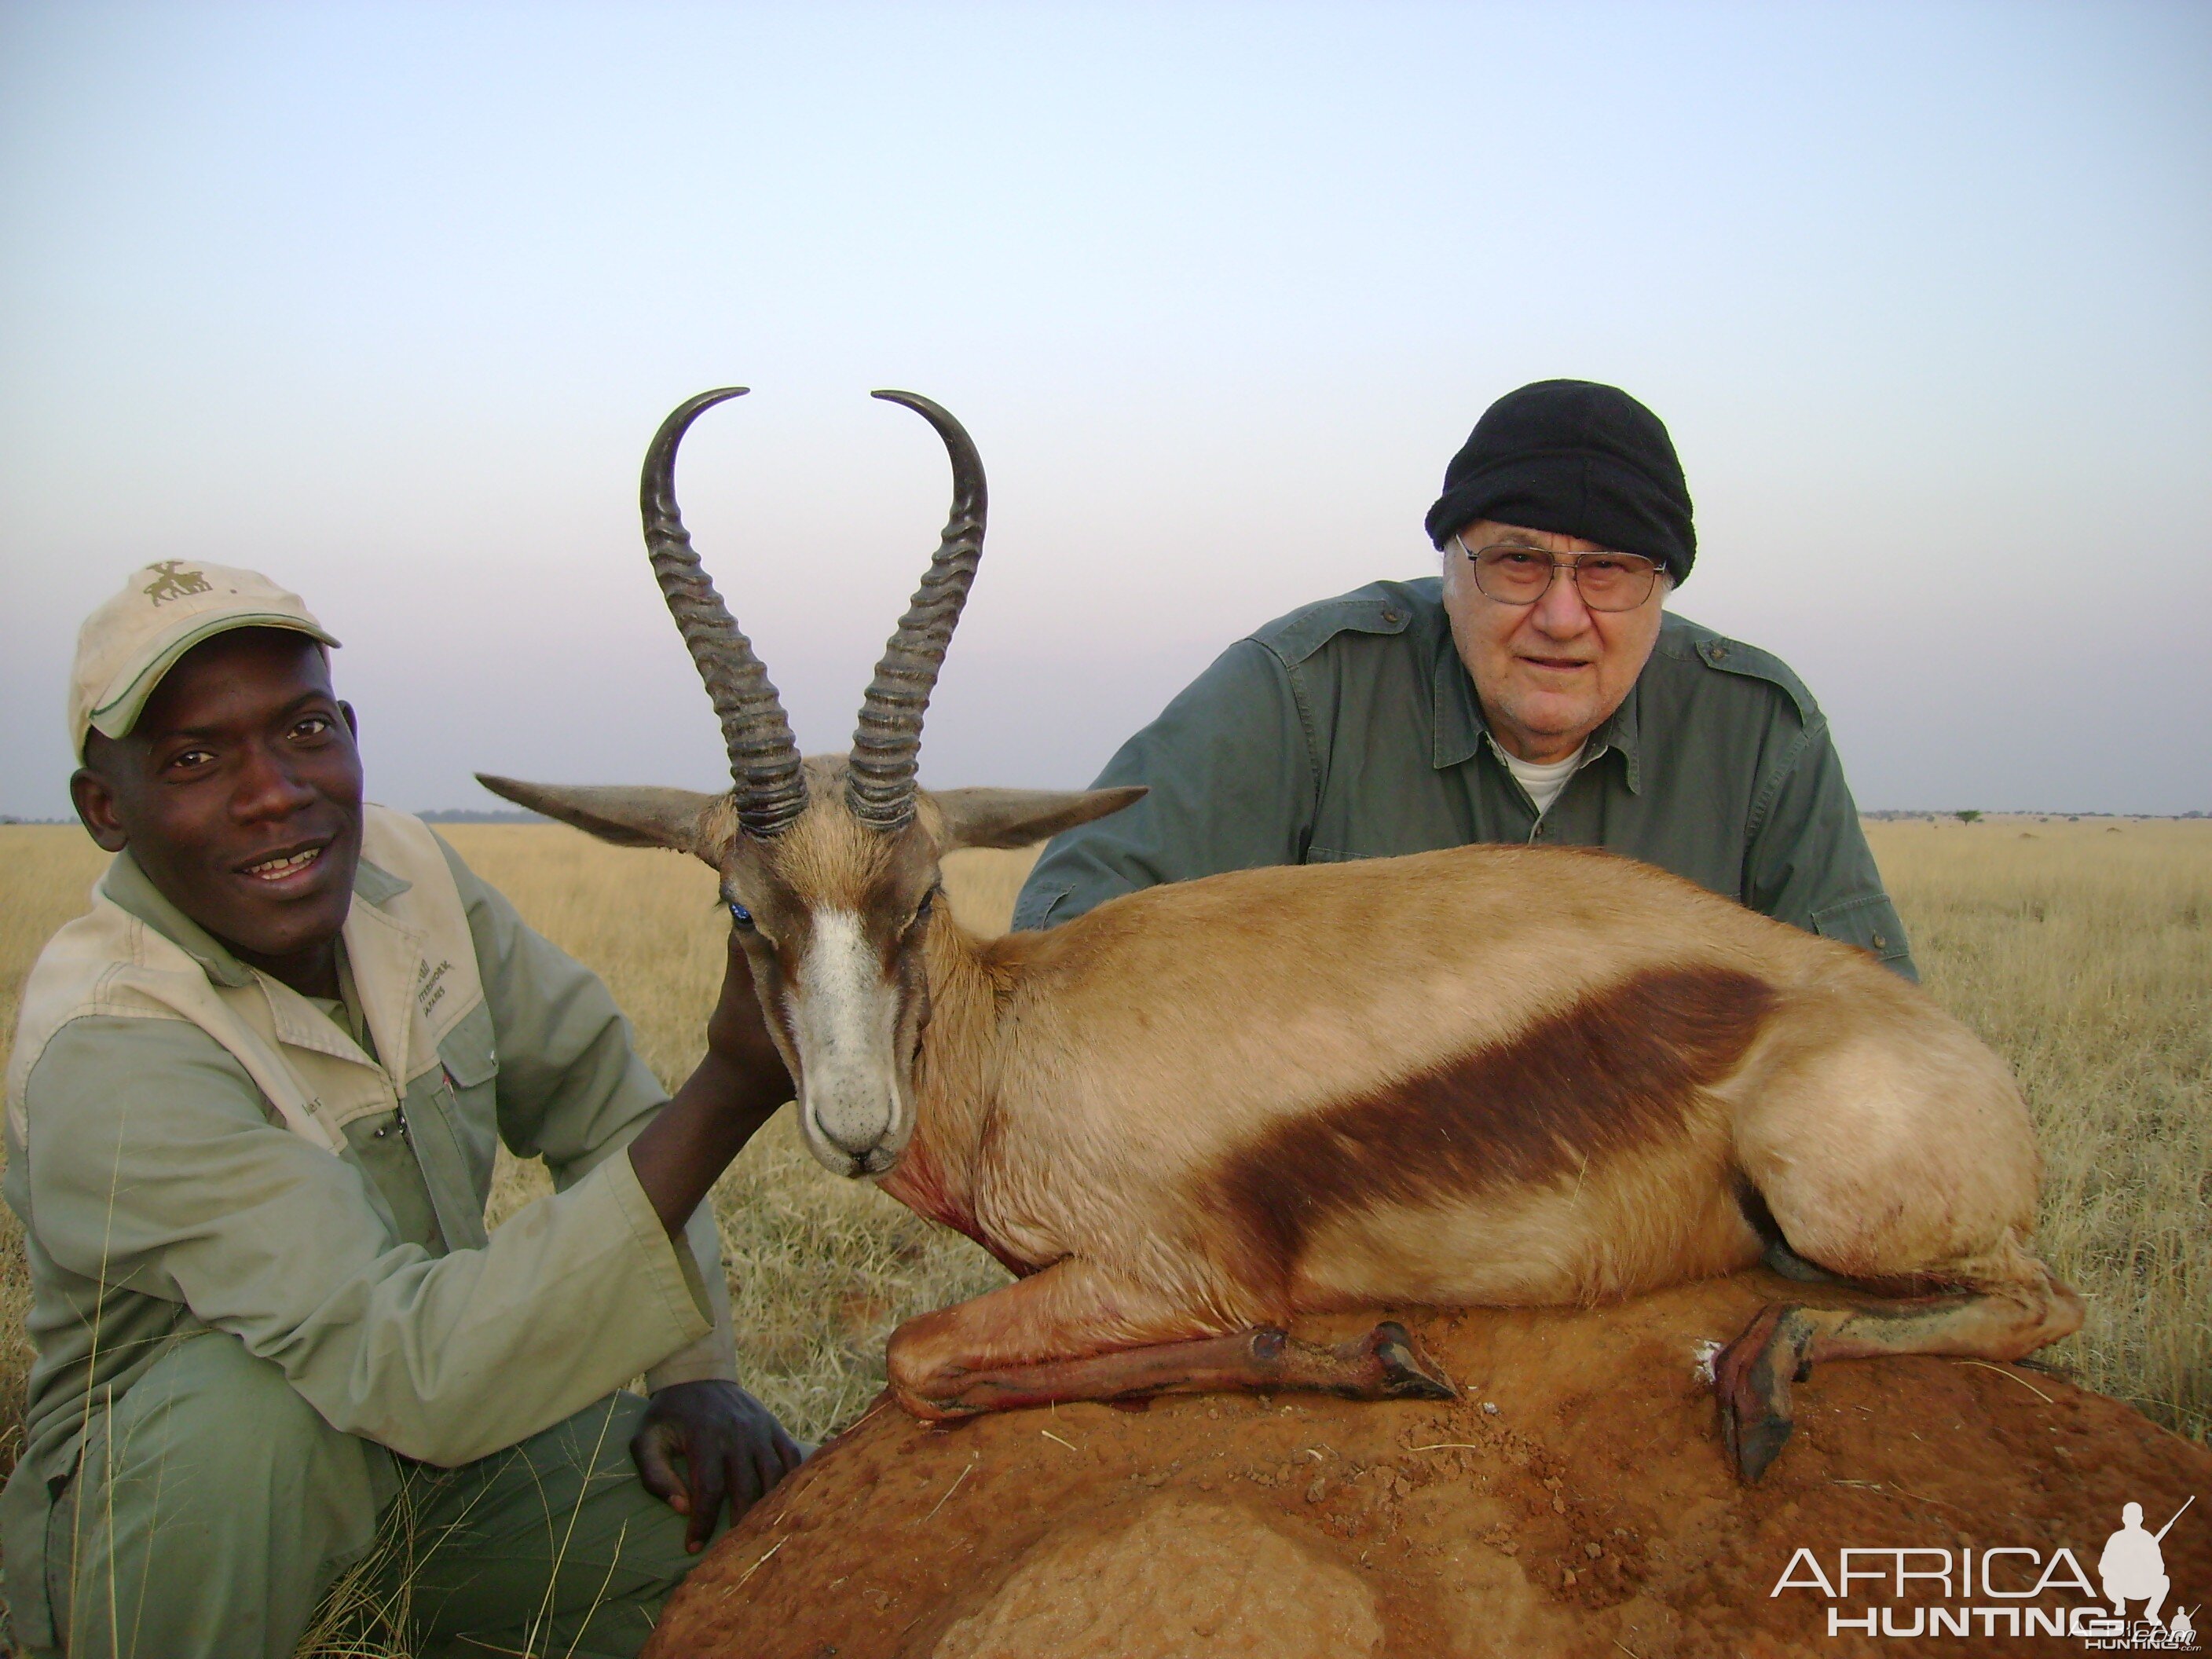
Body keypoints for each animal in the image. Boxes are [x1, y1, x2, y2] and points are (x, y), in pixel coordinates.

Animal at [475, 396, 2079, 1486]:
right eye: (745, 912)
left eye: (920, 895)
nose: (857, 1126)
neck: (1014, 1041)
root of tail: (1958, 1059)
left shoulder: (1160, 1272)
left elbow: (920, 1354)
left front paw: (1371, 1354)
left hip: (1839, 1205)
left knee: (2040, 1303)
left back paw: (1761, 1377)